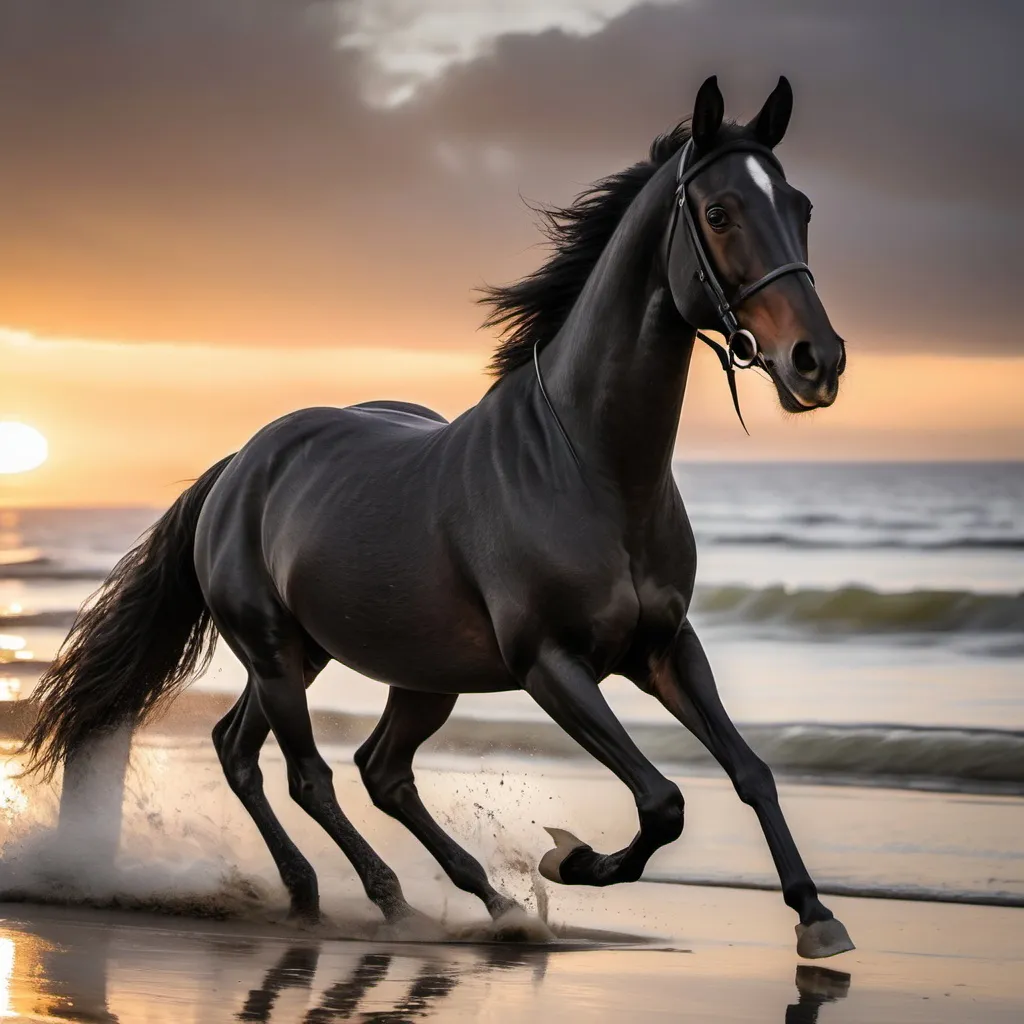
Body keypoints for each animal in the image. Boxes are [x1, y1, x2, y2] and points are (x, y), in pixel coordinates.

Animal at [25, 77, 856, 958]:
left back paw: (462, 900)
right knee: (306, 773)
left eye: (801, 206)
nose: (818, 361)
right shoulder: (552, 665)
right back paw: (386, 897)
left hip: (371, 665)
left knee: (333, 763)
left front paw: (816, 915)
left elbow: (748, 771)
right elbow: (662, 801)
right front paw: (568, 858)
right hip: (278, 653)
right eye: (721, 212)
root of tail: (239, 466)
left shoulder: (665, 649)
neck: (591, 470)